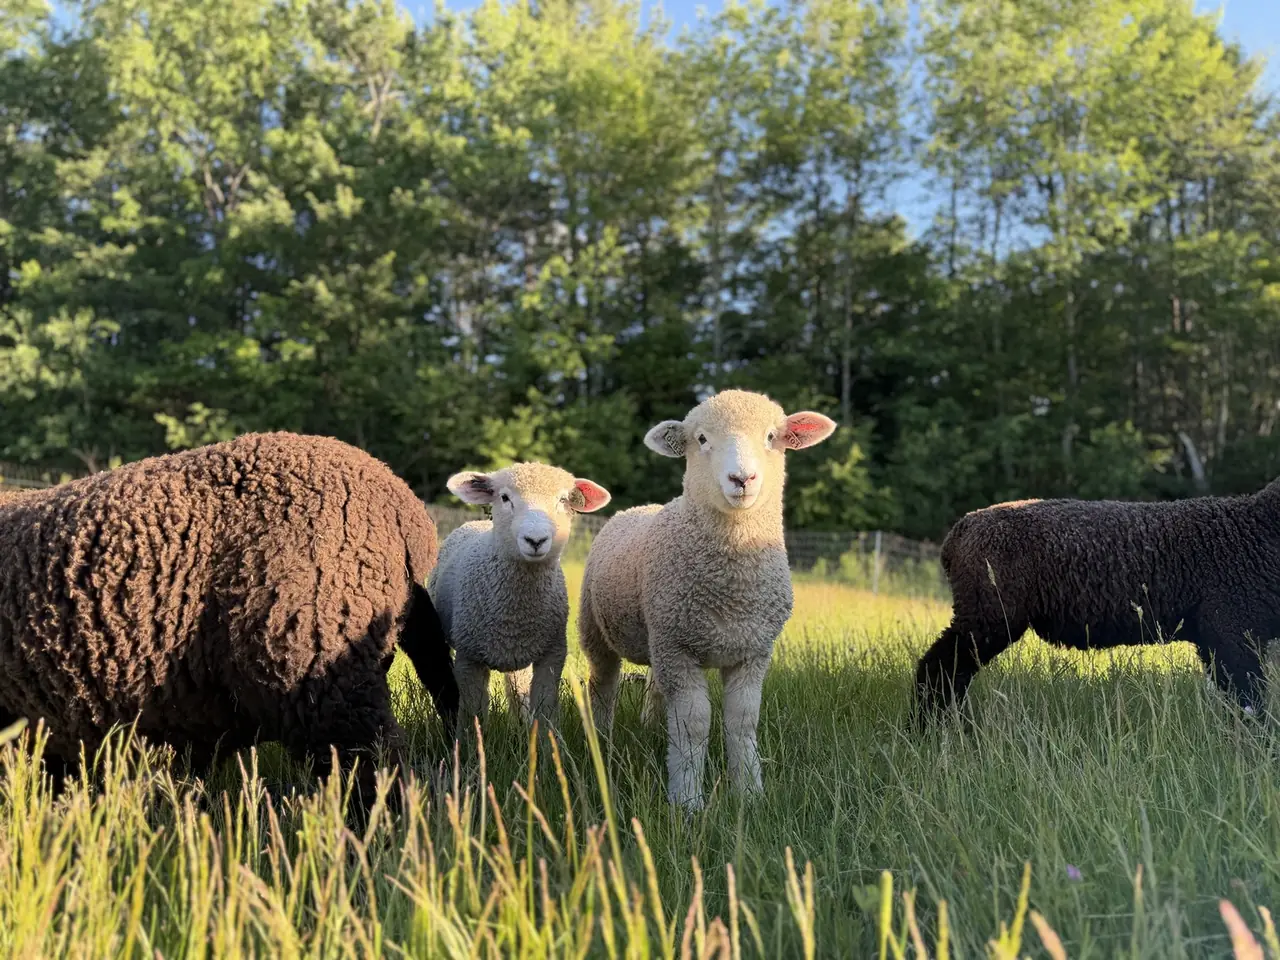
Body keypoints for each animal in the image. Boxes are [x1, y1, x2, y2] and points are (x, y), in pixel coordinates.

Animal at [429, 462, 611, 734]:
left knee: (518, 686)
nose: (535, 540)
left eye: (563, 500)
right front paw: (470, 744)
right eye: (505, 498)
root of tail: (478, 522)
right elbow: (472, 712)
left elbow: (545, 709)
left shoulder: (552, 654)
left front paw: (546, 744)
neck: (516, 611)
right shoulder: (469, 658)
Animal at [578, 389, 836, 810]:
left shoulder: (752, 652)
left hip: (661, 636)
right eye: (700, 439)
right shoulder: (679, 649)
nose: (742, 479)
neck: (731, 589)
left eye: (771, 436)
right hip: (598, 628)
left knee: (654, 685)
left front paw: (749, 791)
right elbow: (694, 724)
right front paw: (687, 800)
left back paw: (651, 727)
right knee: (603, 683)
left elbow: (742, 720)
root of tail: (641, 507)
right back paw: (602, 740)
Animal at [914, 483, 1280, 724]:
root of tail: (959, 532)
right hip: (988, 618)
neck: (1257, 528)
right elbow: (1250, 703)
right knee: (938, 670)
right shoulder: (1231, 632)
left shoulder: (1223, 640)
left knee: (949, 673)